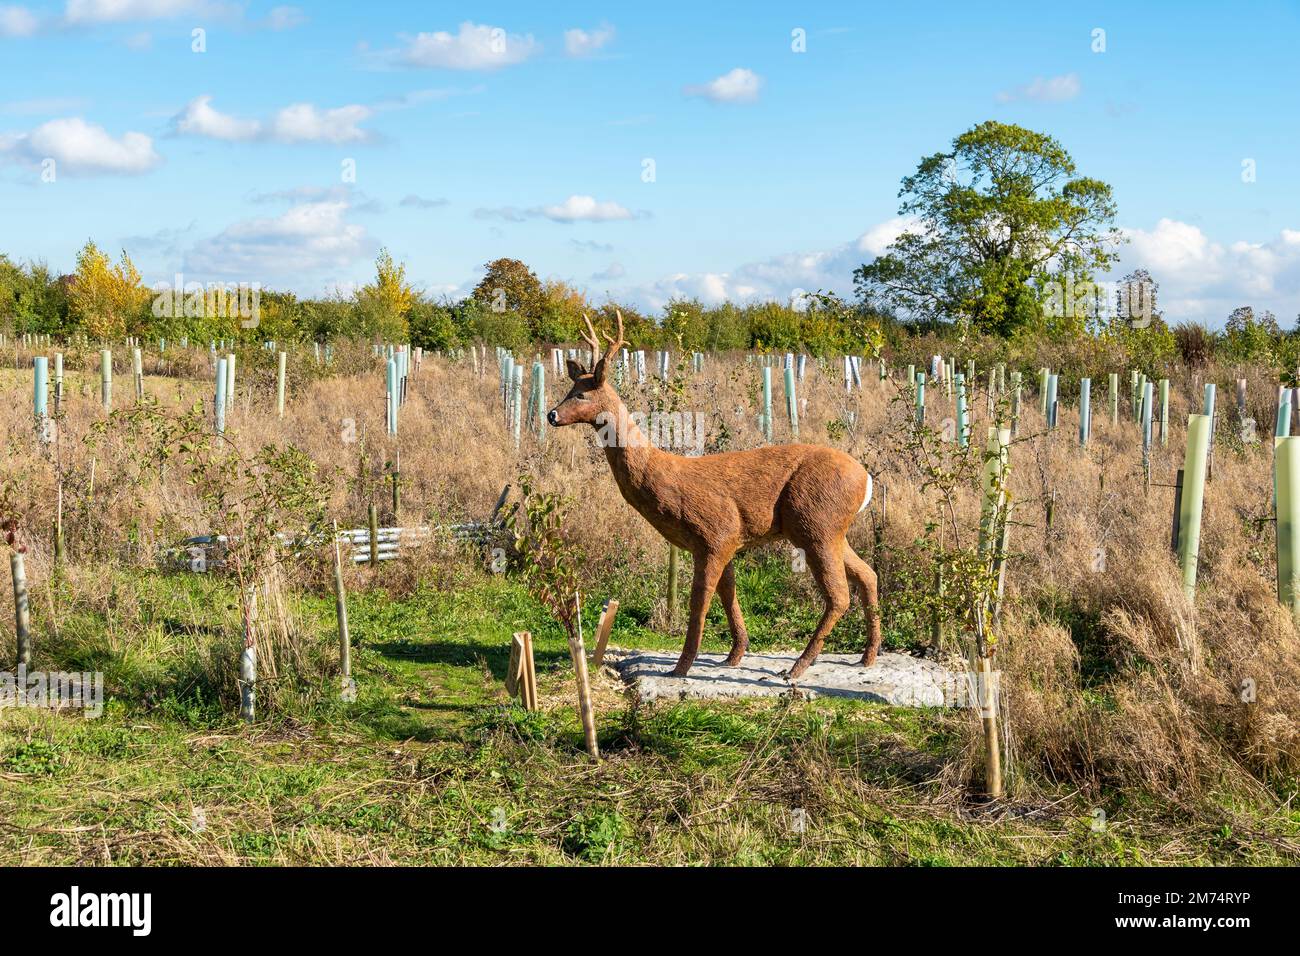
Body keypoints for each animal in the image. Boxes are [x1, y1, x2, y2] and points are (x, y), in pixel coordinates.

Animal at [546, 311, 881, 680]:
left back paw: (798, 667)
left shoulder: (714, 534)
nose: (551, 414)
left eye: (582, 395)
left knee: (839, 595)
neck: (666, 478)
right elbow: (729, 594)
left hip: (816, 523)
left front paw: (681, 667)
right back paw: (867, 657)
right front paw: (734, 655)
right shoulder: (727, 541)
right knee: (868, 574)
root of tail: (866, 480)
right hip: (831, 530)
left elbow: (700, 600)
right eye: (570, 389)